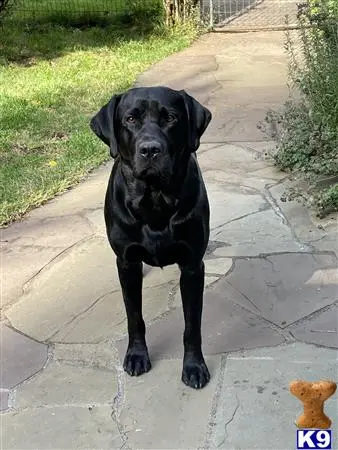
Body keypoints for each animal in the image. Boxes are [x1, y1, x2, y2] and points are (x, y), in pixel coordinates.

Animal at [90, 86, 211, 388]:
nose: (150, 149)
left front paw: (194, 366)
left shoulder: (192, 266)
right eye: (131, 119)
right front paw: (136, 355)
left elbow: (192, 324)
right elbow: (134, 316)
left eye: (170, 118)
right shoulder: (127, 262)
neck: (155, 200)